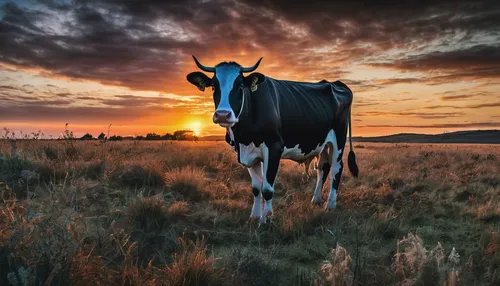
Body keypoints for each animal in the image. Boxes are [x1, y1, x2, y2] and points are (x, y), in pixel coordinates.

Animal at [186, 56, 358, 223]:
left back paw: (330, 204)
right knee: (323, 167)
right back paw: (315, 200)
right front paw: (254, 217)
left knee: (336, 168)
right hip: (322, 143)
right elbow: (256, 188)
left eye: (240, 86)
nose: (223, 115)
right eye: (214, 87)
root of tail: (336, 83)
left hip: (339, 139)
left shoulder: (274, 148)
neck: (244, 135)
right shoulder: (248, 153)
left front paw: (266, 218)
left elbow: (267, 189)